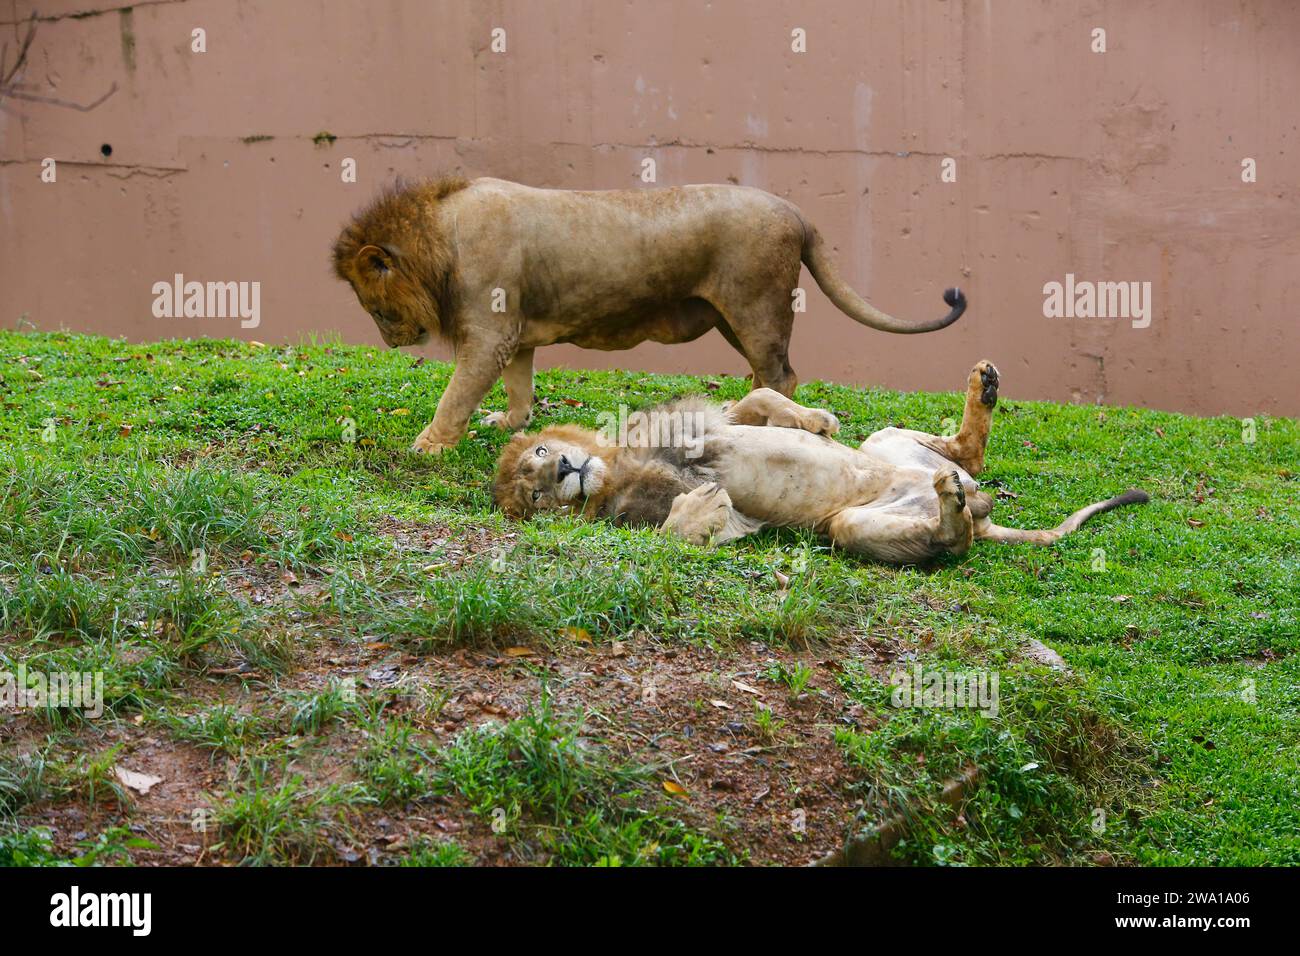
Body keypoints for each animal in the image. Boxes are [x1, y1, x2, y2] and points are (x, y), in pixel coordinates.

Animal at [493, 361, 1149, 564]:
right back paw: (950, 509)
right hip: (851, 525)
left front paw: (815, 420)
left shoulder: (691, 422)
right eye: (533, 496)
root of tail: (987, 513)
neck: (615, 469)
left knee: (968, 453)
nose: (561, 473)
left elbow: (757, 400)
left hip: (886, 440)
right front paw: (698, 506)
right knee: (953, 540)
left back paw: (983, 387)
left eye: (540, 454)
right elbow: (683, 530)